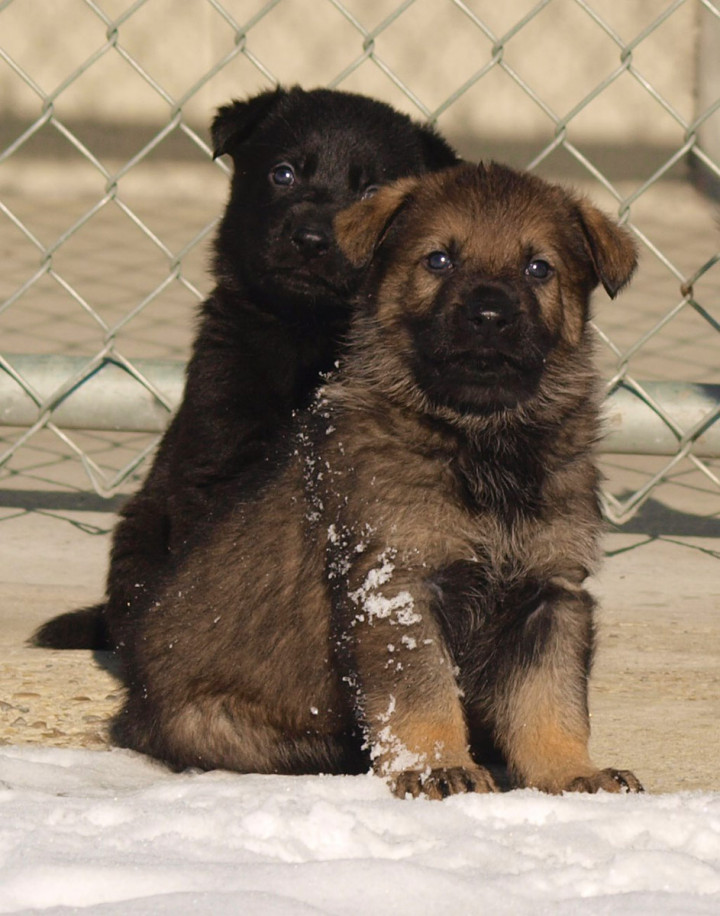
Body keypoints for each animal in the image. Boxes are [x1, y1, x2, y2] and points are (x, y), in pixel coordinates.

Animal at [114, 161, 648, 796]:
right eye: (438, 260)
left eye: (538, 268)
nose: (490, 316)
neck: (480, 437)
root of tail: (134, 707)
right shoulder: (397, 584)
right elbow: (423, 694)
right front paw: (438, 765)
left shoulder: (550, 592)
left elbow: (551, 699)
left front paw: (570, 773)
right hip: (214, 722)